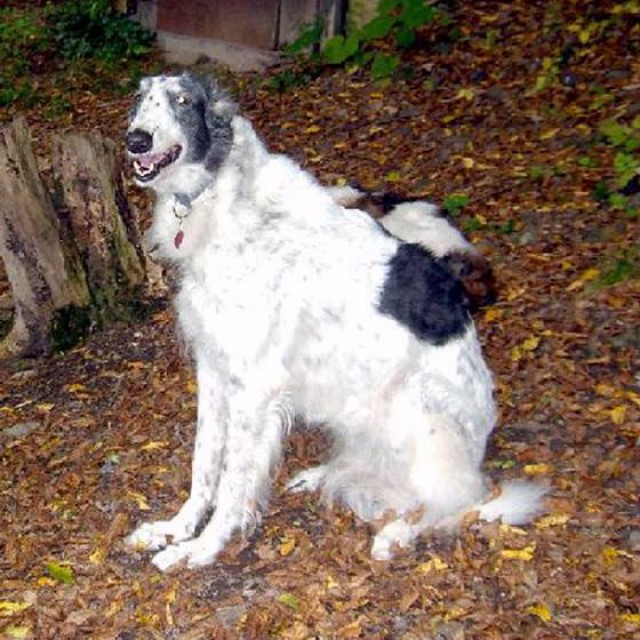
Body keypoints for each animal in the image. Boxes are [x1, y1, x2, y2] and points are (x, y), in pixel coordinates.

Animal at [125, 74, 544, 568]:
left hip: (420, 411)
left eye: (183, 100)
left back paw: (398, 532)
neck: (224, 199)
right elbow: (204, 464)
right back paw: (323, 476)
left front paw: (202, 549)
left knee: (457, 500)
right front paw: (175, 529)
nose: (135, 141)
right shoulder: (213, 367)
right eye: (141, 99)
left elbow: (231, 483)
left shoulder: (254, 384)